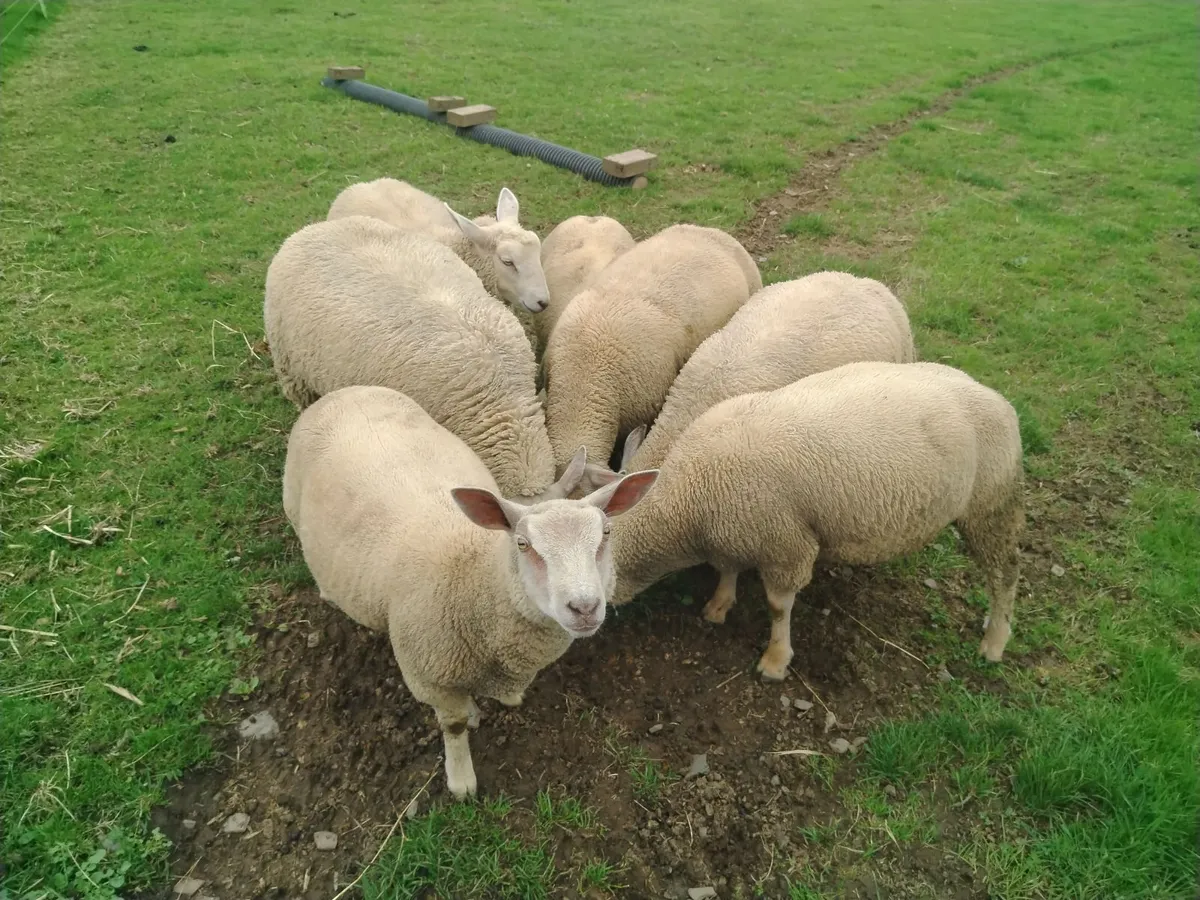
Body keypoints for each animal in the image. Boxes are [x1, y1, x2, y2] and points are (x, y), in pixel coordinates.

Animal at [282, 385, 659, 798]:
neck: (474, 579)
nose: (585, 607)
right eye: (523, 544)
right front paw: (461, 780)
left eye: (606, 533)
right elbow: (455, 726)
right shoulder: (430, 677)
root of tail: (344, 393)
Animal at [596, 361, 1023, 680]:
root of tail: (994, 395)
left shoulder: (785, 546)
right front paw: (719, 604)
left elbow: (777, 607)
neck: (685, 498)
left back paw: (995, 640)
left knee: (1005, 574)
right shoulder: (736, 531)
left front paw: (775, 660)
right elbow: (727, 570)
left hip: (993, 503)